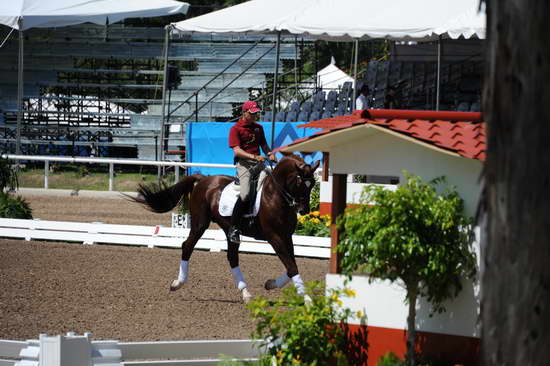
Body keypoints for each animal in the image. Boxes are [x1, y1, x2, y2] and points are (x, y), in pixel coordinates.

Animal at [132, 154, 322, 300]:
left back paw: (245, 293)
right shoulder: (274, 237)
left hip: (229, 229)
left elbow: (292, 267)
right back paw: (177, 283)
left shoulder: (286, 237)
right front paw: (307, 300)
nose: (304, 210)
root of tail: (204, 179)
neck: (276, 196)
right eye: (299, 182)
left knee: (232, 257)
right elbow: (292, 267)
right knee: (187, 246)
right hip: (200, 224)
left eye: (312, 183)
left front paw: (270, 284)